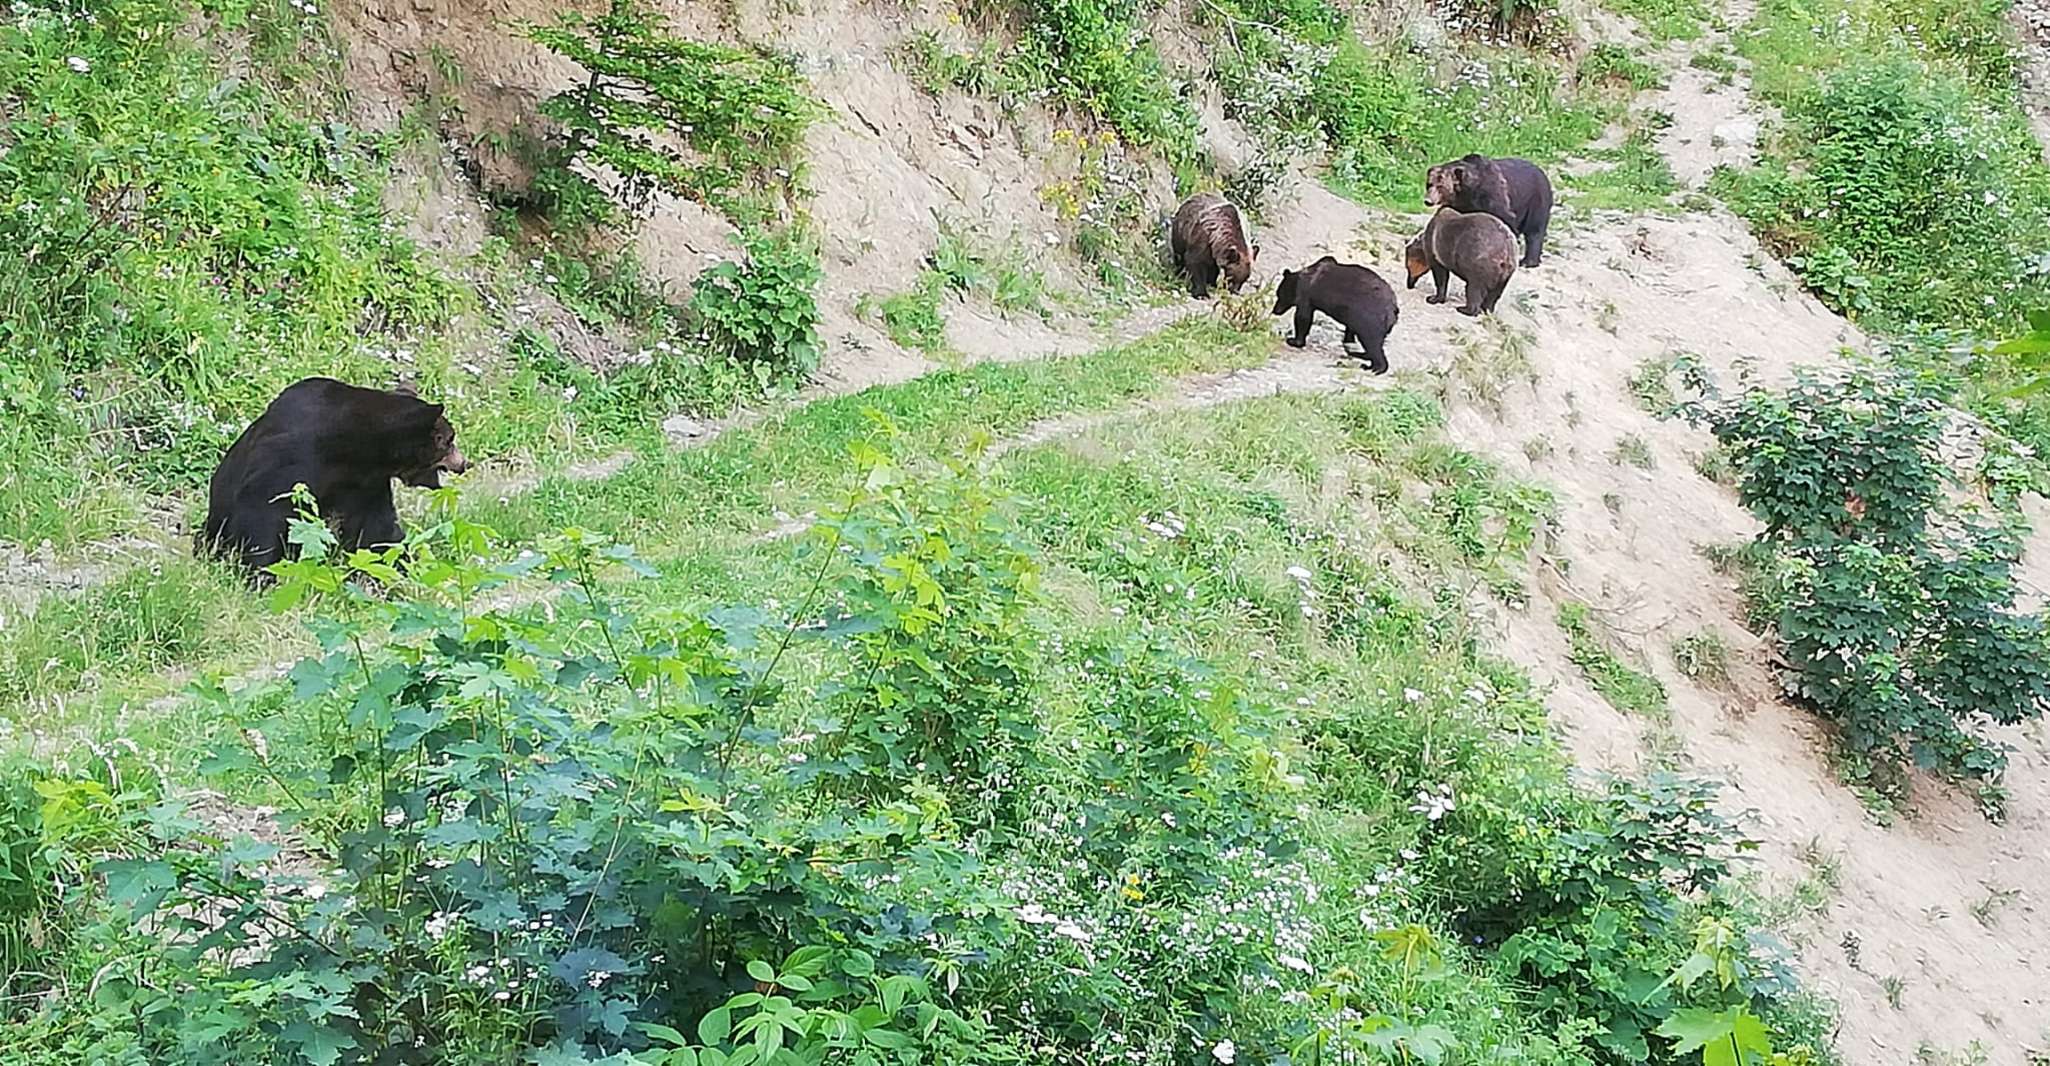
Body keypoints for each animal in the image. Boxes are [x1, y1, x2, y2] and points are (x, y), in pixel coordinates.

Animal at [198, 378, 469, 577]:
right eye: (449, 440)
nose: (465, 463)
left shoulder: (364, 484)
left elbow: (376, 527)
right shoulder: (296, 455)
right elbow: (263, 509)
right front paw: (260, 572)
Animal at [1271, 256, 1400, 375]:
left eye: (1278, 294)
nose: (1275, 310)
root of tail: (1393, 308)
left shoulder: (1306, 295)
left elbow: (1303, 317)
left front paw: (1294, 340)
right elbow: (1349, 329)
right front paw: (1348, 340)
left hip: (1370, 318)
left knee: (1372, 343)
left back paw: (1375, 367)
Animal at [1424, 154, 1554, 268]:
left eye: (1440, 186)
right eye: (1429, 184)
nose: (1428, 200)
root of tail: (1542, 171)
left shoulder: (1492, 194)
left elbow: (1505, 220)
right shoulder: (1462, 205)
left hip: (1535, 198)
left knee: (1534, 229)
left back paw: (1528, 261)